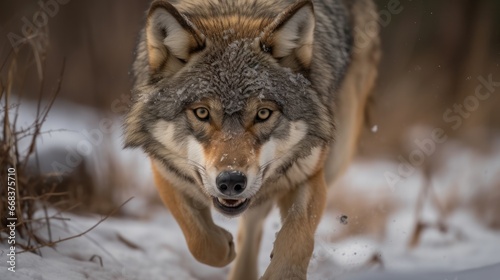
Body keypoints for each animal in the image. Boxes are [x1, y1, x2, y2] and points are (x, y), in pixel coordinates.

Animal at [124, 0, 378, 278]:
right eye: (202, 113)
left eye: (263, 113)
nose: (231, 182)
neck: (235, 10)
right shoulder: (164, 169)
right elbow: (200, 240)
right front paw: (223, 246)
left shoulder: (308, 173)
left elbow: (297, 239)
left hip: (338, 153)